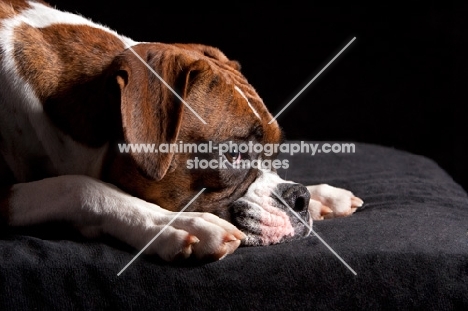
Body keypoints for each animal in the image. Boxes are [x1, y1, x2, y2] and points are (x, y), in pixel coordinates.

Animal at [0, 0, 362, 264]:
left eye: (275, 152)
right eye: (233, 154)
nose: (299, 198)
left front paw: (322, 195)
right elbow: (79, 186)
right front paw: (176, 224)